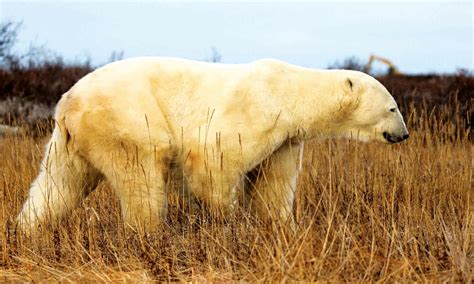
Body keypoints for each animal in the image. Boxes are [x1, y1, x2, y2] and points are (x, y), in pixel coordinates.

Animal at [16, 57, 410, 231]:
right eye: (393, 107)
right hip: (127, 120)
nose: (404, 134)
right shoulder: (256, 108)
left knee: (57, 185)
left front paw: (277, 225)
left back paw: (28, 230)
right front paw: (225, 220)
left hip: (69, 141)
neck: (289, 92)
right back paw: (149, 232)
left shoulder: (285, 138)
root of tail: (68, 103)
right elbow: (213, 159)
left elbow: (273, 183)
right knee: (141, 176)